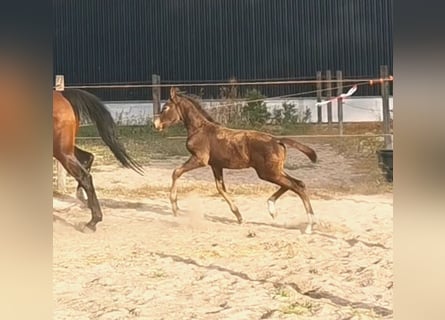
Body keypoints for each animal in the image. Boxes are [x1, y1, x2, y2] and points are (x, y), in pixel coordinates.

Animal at [52, 89, 143, 231]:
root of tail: (62, 94)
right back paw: (84, 200)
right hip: (65, 149)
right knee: (88, 158)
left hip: (62, 151)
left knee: (85, 176)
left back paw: (92, 222)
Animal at [154, 87, 318, 232]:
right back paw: (273, 209)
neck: (199, 129)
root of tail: (277, 140)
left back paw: (309, 225)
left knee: (296, 186)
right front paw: (239, 216)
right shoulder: (216, 165)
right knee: (296, 183)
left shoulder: (200, 159)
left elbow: (176, 172)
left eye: (165, 107)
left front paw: (175, 207)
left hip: (267, 172)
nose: (156, 124)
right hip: (275, 171)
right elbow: (220, 188)